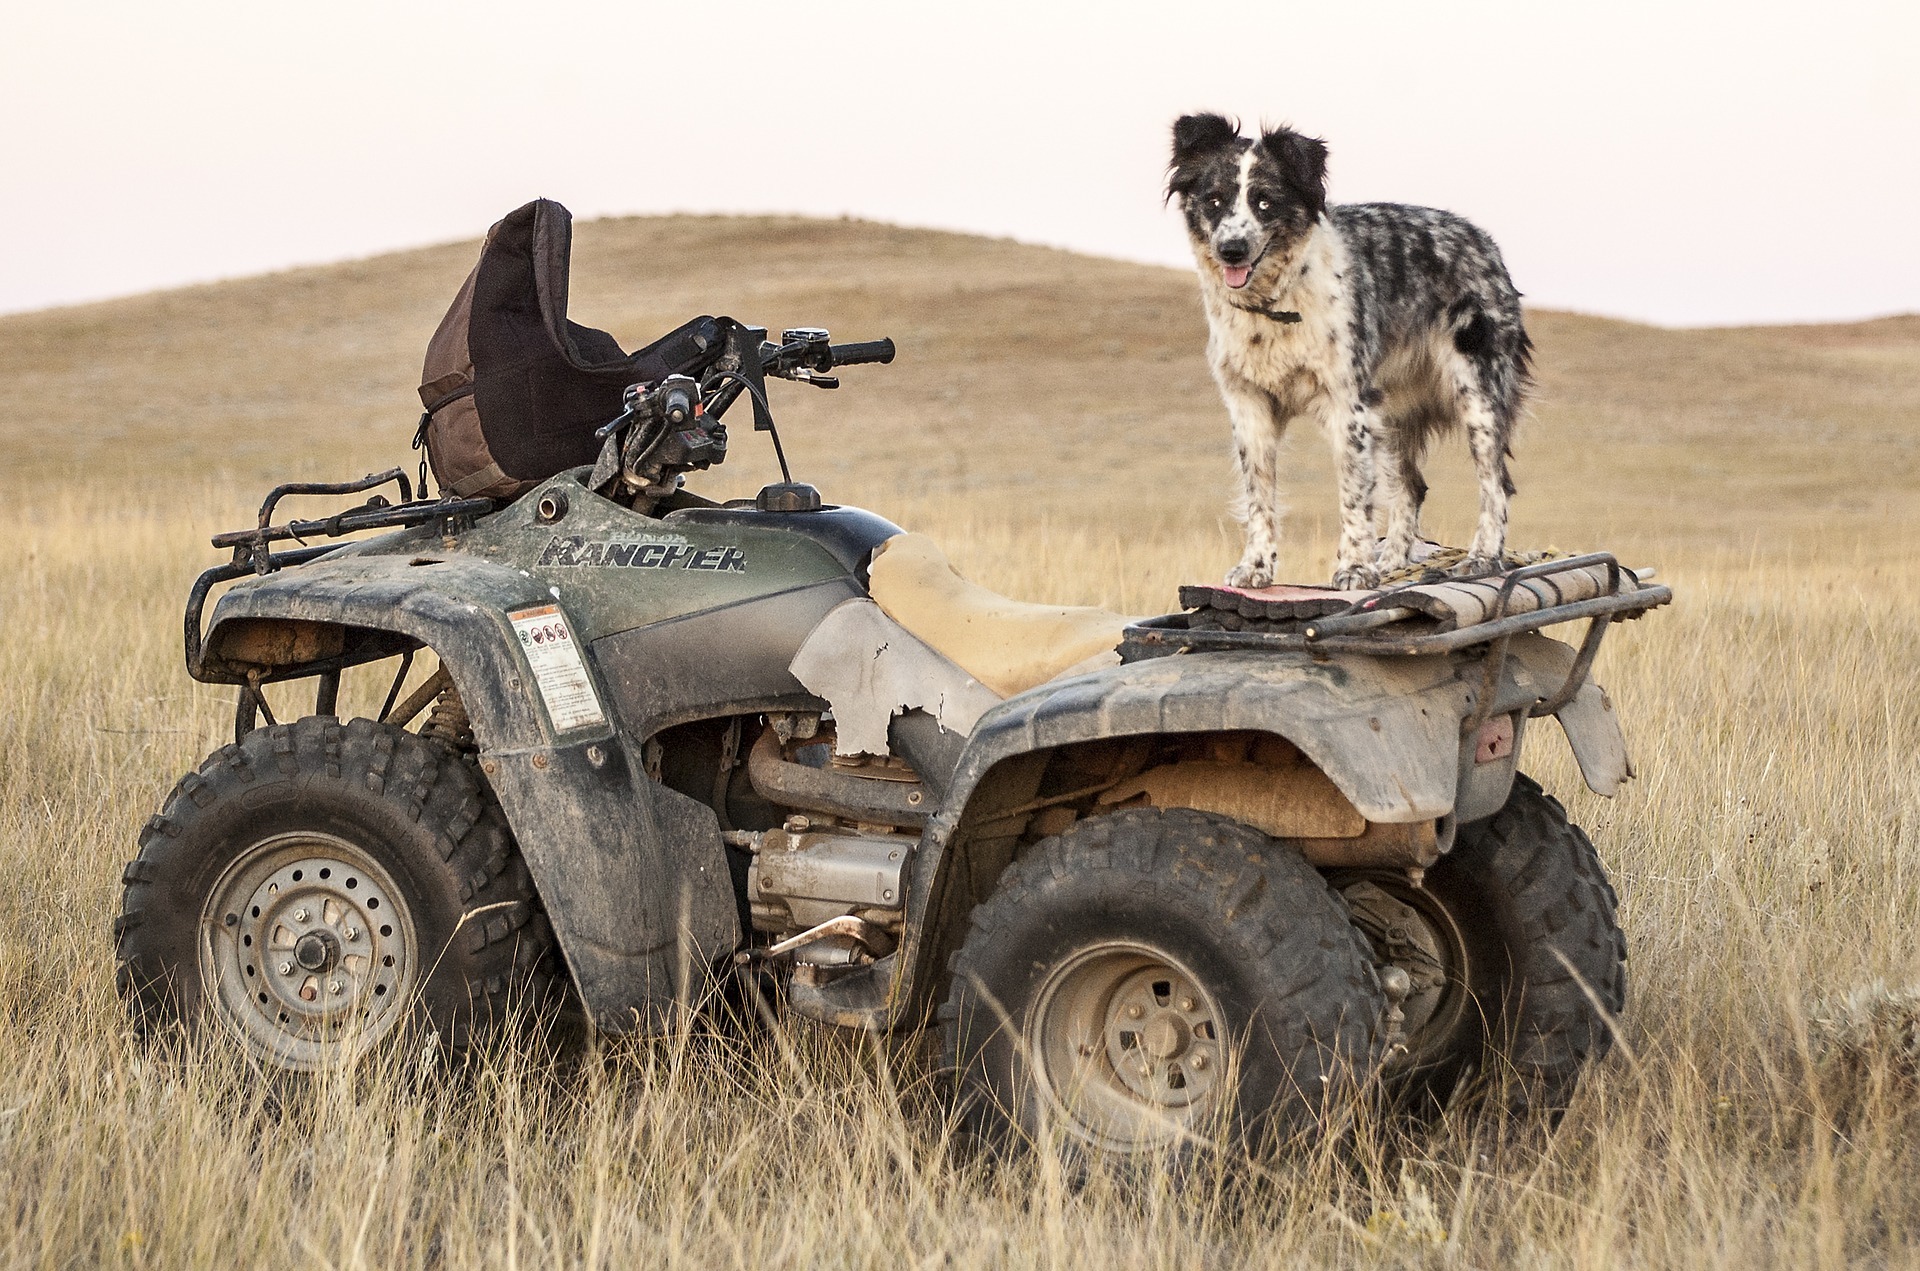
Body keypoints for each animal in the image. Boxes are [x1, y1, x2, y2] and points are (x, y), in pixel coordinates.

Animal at [1167, 111, 1528, 591]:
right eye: (1214, 200)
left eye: (1265, 202)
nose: (1232, 250)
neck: (1275, 304)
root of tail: (1483, 241)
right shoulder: (1249, 404)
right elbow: (1259, 495)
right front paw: (1256, 566)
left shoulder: (1348, 403)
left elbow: (1354, 494)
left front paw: (1355, 567)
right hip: (1391, 411)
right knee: (1412, 486)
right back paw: (1393, 562)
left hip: (1477, 394)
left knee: (1495, 483)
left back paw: (1482, 557)